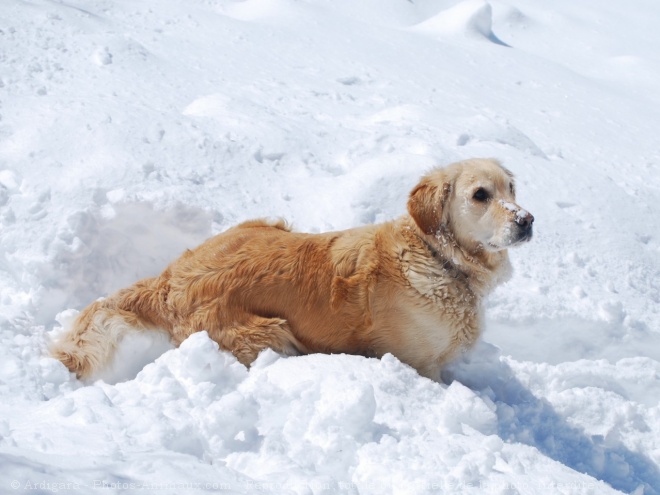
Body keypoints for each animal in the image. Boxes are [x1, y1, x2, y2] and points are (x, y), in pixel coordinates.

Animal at [52, 159, 536, 380]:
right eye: (480, 194)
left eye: (512, 188)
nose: (527, 220)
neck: (441, 260)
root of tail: (170, 278)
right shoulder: (415, 363)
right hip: (272, 333)